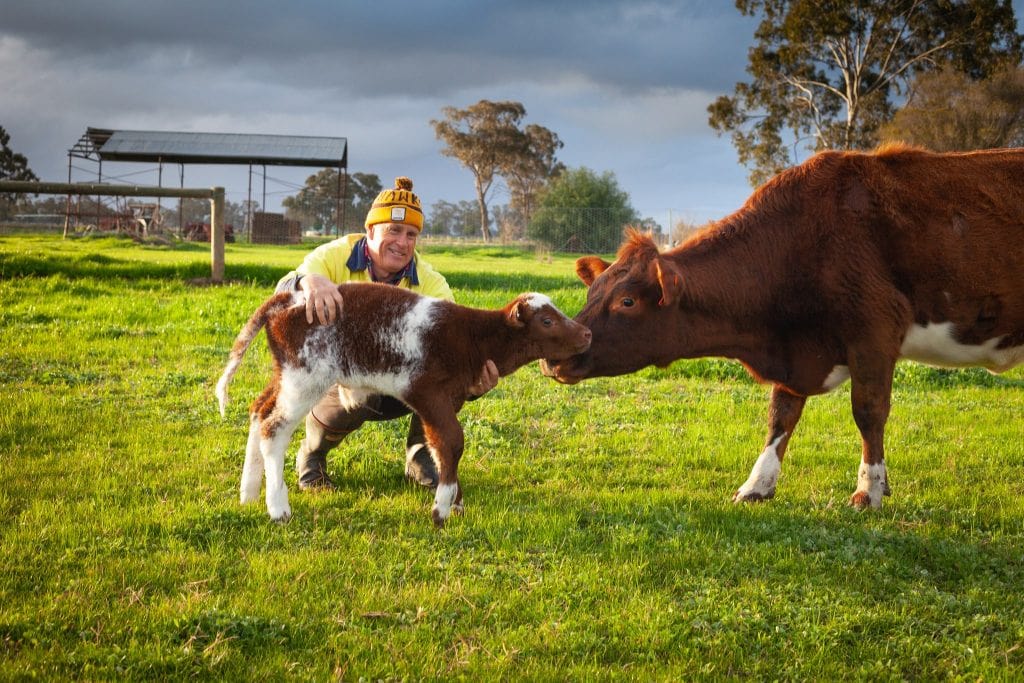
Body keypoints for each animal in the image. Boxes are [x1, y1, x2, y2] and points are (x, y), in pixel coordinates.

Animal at [544, 144, 1024, 507]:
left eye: (626, 301)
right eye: (591, 292)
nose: (555, 357)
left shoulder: (874, 333)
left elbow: (868, 413)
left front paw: (869, 491)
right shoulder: (796, 352)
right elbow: (781, 416)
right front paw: (757, 485)